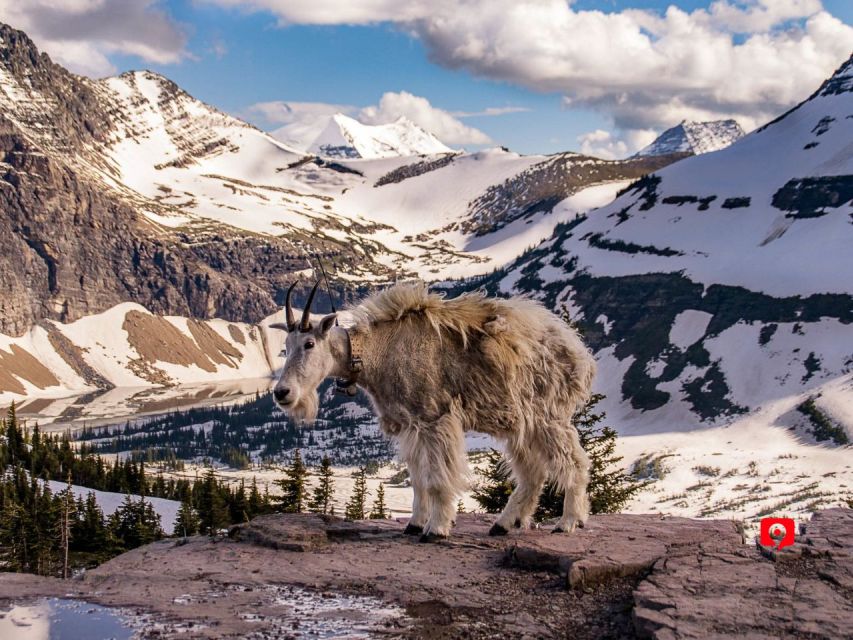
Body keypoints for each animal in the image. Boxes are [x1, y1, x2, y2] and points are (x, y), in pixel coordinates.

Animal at [272, 282, 592, 544]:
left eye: (309, 343)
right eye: (285, 346)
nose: (281, 393)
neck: (374, 354)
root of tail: (579, 351)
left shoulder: (436, 419)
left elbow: (438, 479)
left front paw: (436, 529)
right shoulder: (410, 425)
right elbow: (418, 479)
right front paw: (414, 524)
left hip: (547, 416)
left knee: (573, 462)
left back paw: (568, 522)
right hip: (518, 423)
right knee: (532, 472)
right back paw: (504, 523)